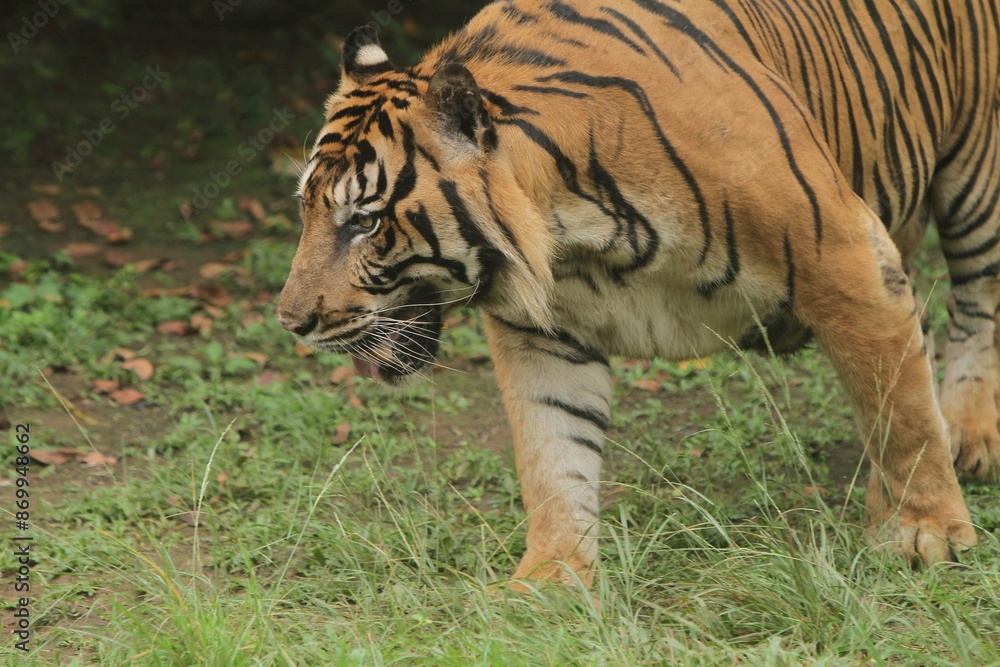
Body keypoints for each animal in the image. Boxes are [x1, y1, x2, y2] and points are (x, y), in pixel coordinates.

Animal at [278, 0, 999, 586]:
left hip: (976, 175)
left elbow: (900, 414)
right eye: (307, 208)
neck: (571, 226)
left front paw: (925, 534)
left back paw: (968, 438)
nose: (291, 321)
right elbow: (550, 451)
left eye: (365, 221)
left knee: (974, 306)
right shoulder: (544, 333)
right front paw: (550, 578)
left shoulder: (845, 259)